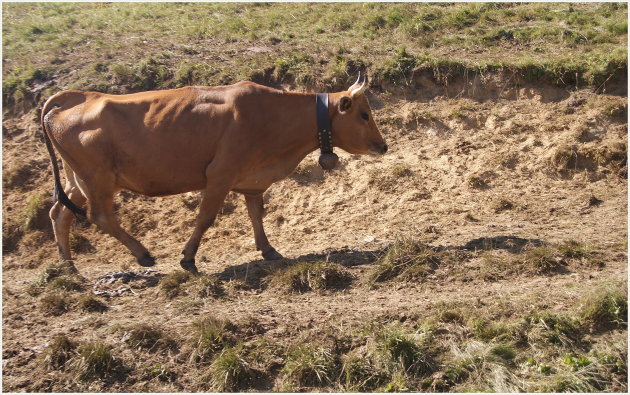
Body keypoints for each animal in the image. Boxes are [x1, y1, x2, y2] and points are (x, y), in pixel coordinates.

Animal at [42, 77, 388, 276]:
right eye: (363, 114)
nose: (382, 145)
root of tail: (81, 96)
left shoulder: (252, 180)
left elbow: (256, 214)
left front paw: (268, 249)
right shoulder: (220, 175)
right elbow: (206, 218)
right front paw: (188, 259)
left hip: (78, 180)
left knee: (60, 213)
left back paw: (68, 266)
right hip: (97, 178)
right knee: (99, 216)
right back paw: (142, 254)